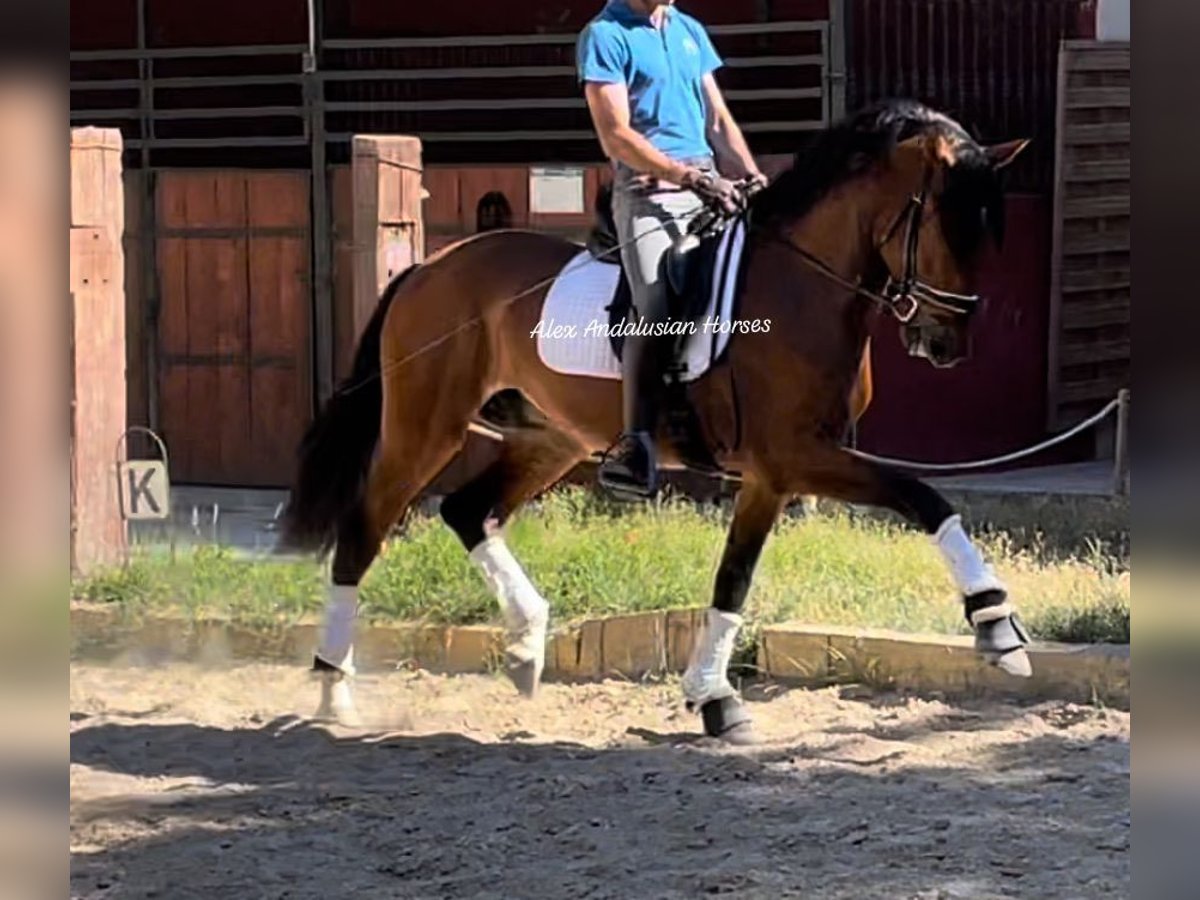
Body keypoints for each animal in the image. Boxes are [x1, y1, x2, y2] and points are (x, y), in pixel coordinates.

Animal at [278, 100, 1032, 748]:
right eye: (945, 225)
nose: (946, 342)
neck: (801, 284)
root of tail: (426, 267)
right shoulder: (795, 456)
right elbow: (923, 495)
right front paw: (997, 627)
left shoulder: (772, 475)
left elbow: (733, 581)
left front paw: (715, 701)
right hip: (425, 431)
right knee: (365, 528)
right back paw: (335, 691)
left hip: (550, 439)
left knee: (468, 510)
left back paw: (525, 646)